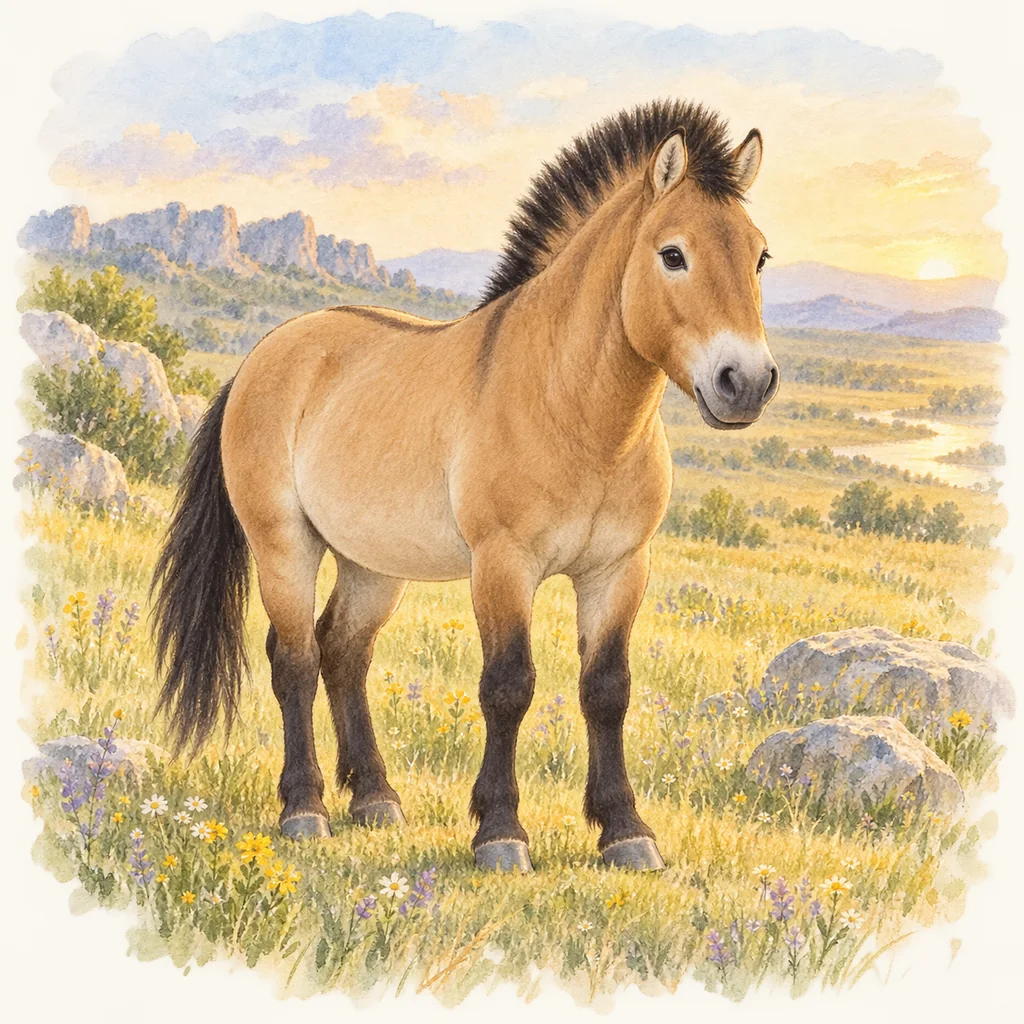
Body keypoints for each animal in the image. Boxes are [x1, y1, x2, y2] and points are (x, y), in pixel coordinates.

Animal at [152, 99, 779, 873]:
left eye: (759, 255)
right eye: (673, 254)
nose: (744, 382)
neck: (572, 409)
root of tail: (264, 355)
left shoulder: (618, 570)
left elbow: (607, 691)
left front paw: (625, 830)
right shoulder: (503, 565)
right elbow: (508, 687)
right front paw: (501, 832)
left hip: (371, 562)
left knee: (343, 652)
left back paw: (375, 799)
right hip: (283, 546)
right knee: (294, 659)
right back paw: (305, 809)